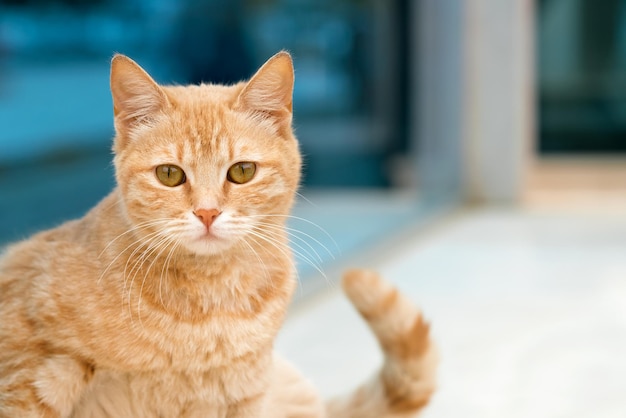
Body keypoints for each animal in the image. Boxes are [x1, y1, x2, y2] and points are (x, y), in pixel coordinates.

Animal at [0, 50, 434, 416]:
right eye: (169, 174)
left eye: (242, 171)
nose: (207, 212)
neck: (209, 304)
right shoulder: (26, 379)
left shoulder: (244, 396)